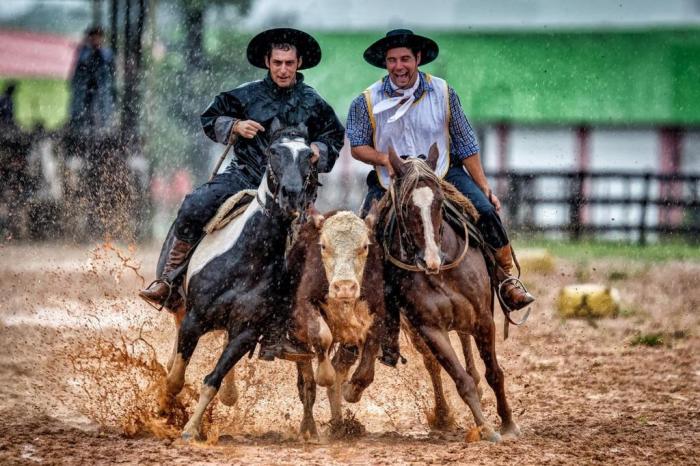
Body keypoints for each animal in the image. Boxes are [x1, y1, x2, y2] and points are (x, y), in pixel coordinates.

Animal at [158, 120, 318, 440]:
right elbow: (176, 379)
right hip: (180, 303)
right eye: (273, 151)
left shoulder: (245, 332)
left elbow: (212, 379)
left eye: (309, 155)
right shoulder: (195, 318)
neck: (249, 257)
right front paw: (164, 410)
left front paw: (191, 429)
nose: (291, 194)